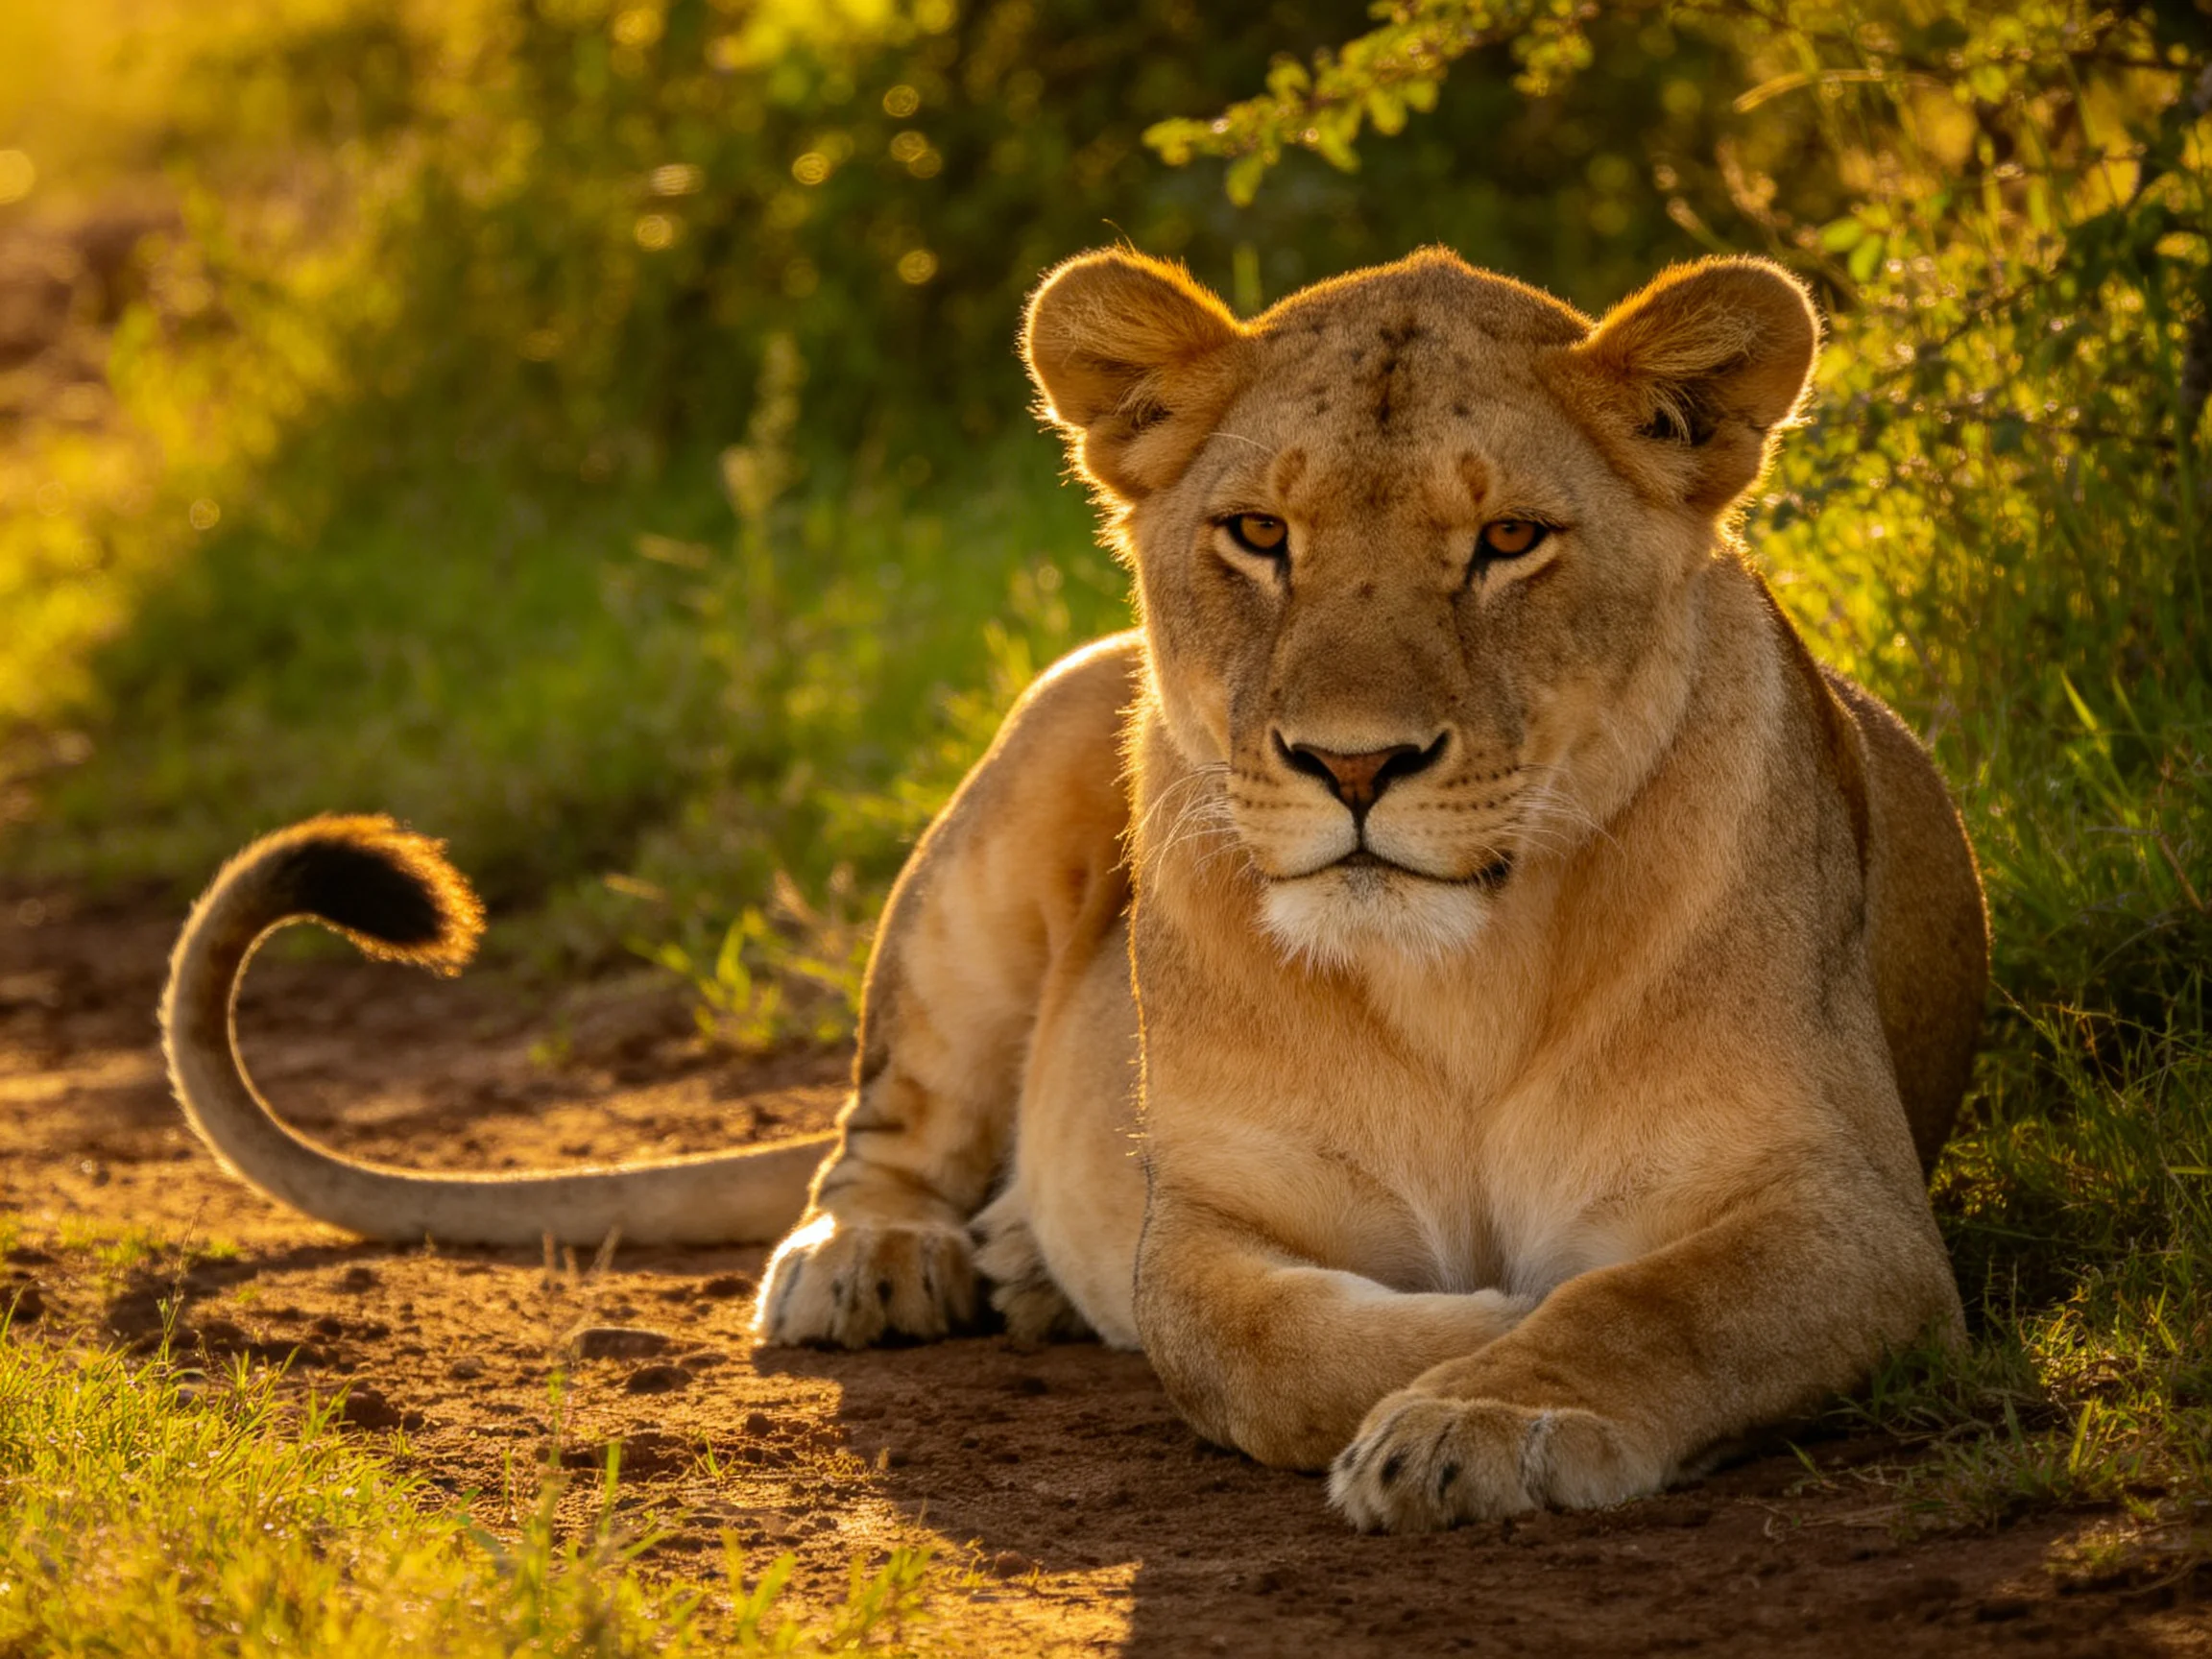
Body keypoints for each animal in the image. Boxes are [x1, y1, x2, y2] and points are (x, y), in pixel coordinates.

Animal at [163, 246, 1987, 1532]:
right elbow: (1272, 1347)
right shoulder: (1215, 1224)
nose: (1353, 765)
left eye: (1509, 542)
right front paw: (1459, 1360)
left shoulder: (1850, 1213)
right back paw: (886, 1259)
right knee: (884, 1124)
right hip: (1040, 734)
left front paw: (1497, 1411)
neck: (1459, 975)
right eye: (1257, 533)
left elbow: (1654, 1302)